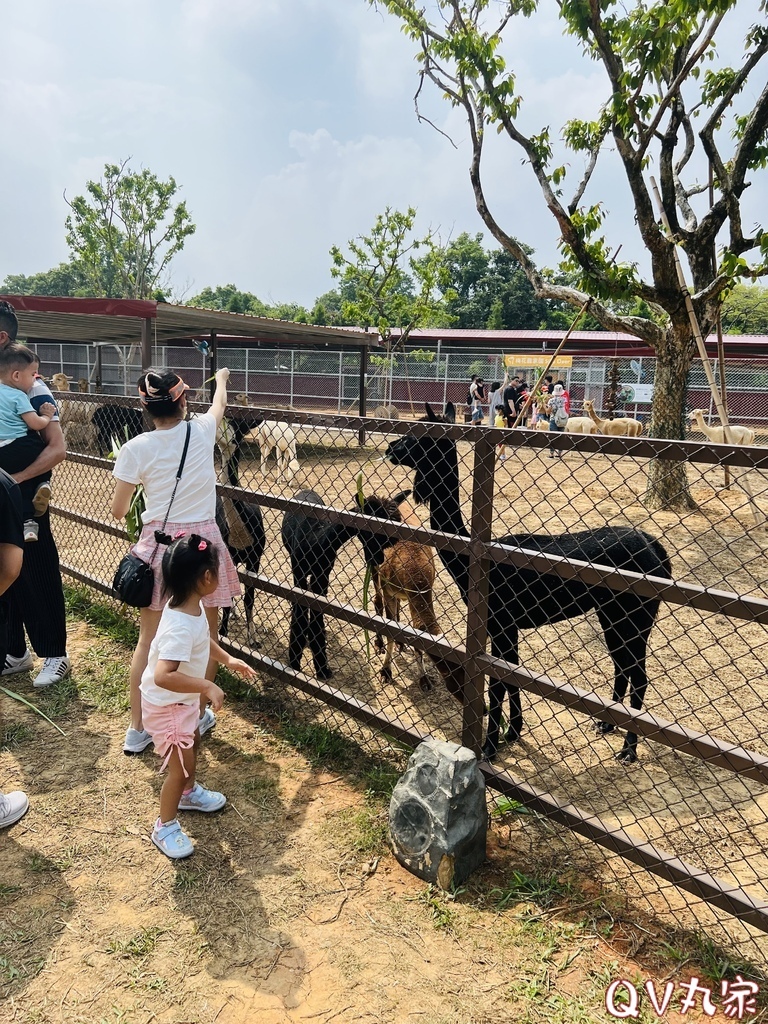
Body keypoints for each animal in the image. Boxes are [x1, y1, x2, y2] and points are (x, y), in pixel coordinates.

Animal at [280, 489, 358, 679]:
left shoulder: (322, 576)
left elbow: (318, 614)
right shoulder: (299, 571)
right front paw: (295, 662)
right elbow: (300, 613)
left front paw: (322, 668)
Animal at [387, 403, 671, 765]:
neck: (475, 562)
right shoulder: (504, 625)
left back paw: (628, 750)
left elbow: (497, 682)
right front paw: (513, 732)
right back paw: (606, 725)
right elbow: (509, 676)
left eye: (420, 436)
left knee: (639, 675)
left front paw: (490, 747)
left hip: (635, 614)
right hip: (611, 614)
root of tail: (655, 548)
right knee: (621, 666)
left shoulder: (501, 621)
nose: (391, 448)